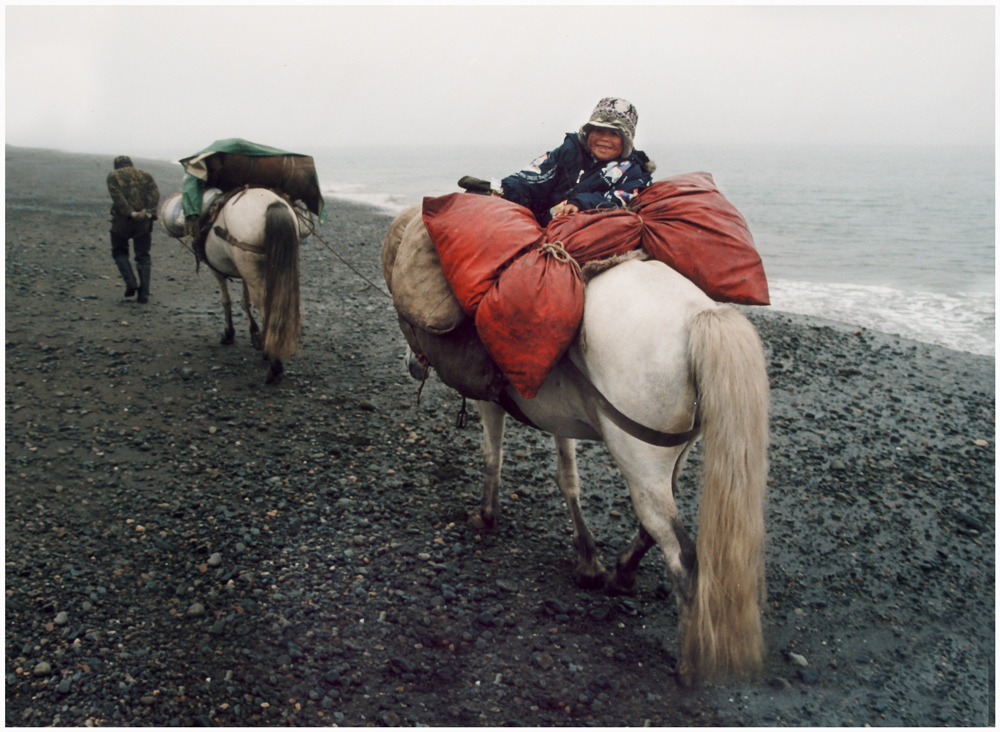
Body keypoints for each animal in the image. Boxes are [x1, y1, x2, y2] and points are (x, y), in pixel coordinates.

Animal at [199, 187, 300, 384]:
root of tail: (273, 204)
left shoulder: (216, 269)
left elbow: (226, 300)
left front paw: (229, 333)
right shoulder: (243, 274)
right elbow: (246, 302)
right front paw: (254, 334)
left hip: (250, 267)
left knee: (265, 307)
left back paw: (274, 364)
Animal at [394, 247, 768, 688]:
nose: (410, 363)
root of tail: (699, 317)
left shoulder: (490, 401)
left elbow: (492, 457)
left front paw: (486, 516)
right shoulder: (561, 417)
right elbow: (567, 477)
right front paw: (588, 560)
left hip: (639, 459)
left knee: (683, 557)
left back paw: (688, 663)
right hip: (669, 460)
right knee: (653, 526)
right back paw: (621, 574)